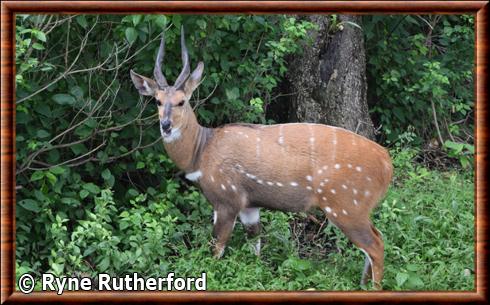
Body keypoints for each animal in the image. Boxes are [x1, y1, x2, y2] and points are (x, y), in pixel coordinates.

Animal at [128, 27, 392, 288]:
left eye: (181, 101)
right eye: (157, 101)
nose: (166, 125)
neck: (202, 151)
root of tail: (387, 163)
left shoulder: (226, 200)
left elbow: (217, 247)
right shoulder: (250, 206)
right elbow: (255, 244)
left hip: (345, 206)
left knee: (376, 245)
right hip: (355, 209)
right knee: (377, 238)